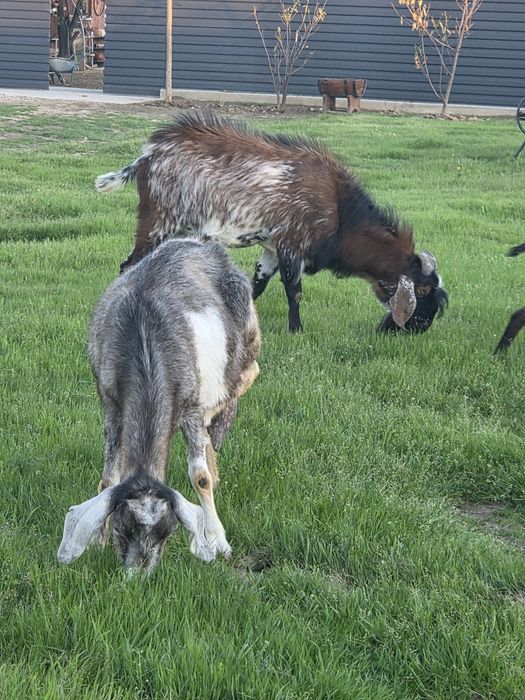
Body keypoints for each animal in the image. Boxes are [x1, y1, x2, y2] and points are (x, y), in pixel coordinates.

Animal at [57, 238, 261, 574]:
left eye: (167, 531)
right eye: (121, 529)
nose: (137, 575)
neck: (144, 340)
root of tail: (199, 243)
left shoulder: (191, 407)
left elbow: (200, 478)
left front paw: (217, 540)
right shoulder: (110, 404)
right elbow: (108, 477)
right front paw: (97, 539)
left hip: (248, 333)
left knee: (247, 372)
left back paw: (220, 418)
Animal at [96, 111, 447, 334]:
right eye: (423, 289)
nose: (419, 329)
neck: (340, 211)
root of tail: (146, 156)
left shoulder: (271, 248)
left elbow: (257, 285)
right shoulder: (292, 244)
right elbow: (294, 290)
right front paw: (297, 330)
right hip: (158, 219)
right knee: (128, 265)